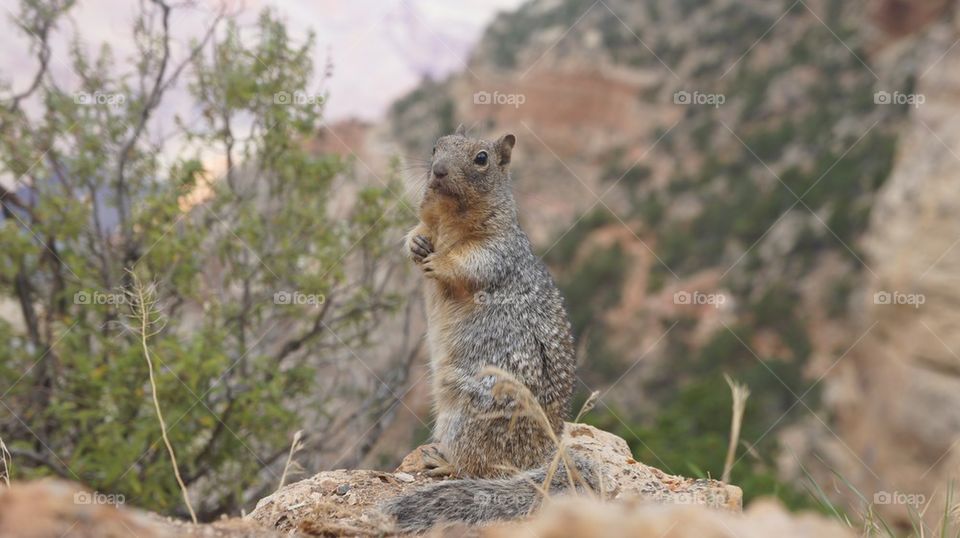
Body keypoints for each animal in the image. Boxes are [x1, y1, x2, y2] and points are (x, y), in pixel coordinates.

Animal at [382, 125, 596, 532]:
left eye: (481, 158)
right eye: (435, 147)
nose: (438, 170)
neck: (448, 218)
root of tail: (546, 454)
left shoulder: (497, 248)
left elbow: (471, 262)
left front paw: (438, 263)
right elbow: (417, 230)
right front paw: (416, 244)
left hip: (467, 414)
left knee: (480, 467)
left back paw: (443, 462)